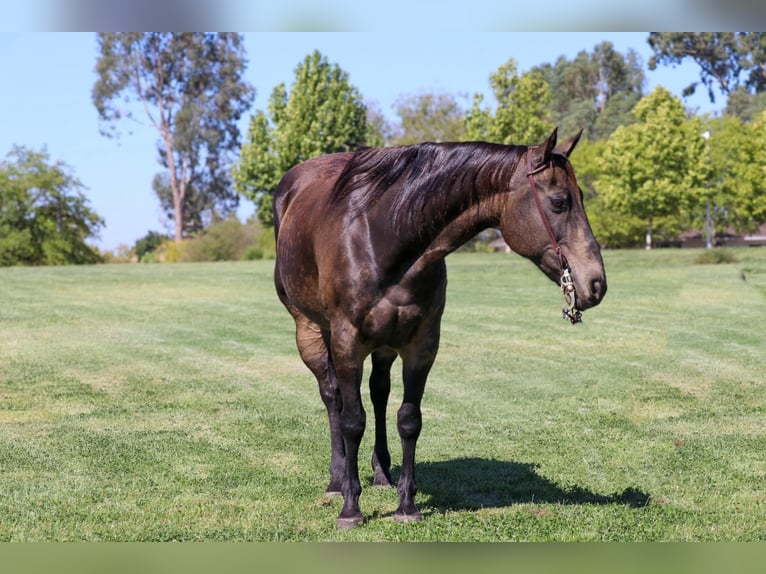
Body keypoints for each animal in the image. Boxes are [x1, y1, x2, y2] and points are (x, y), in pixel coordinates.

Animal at [273, 128, 607, 529]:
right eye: (559, 202)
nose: (596, 283)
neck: (381, 236)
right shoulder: (346, 341)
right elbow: (353, 421)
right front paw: (351, 509)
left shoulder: (422, 344)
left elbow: (408, 419)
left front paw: (406, 505)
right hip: (310, 330)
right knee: (332, 397)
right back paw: (337, 482)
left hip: (384, 345)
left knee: (379, 392)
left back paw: (382, 473)